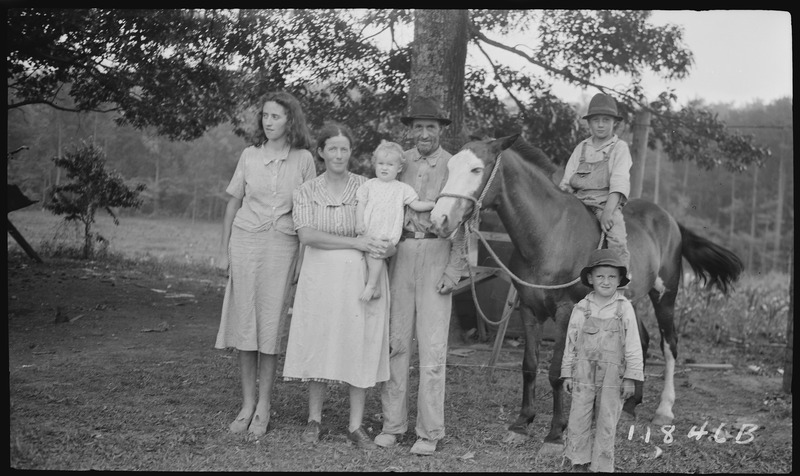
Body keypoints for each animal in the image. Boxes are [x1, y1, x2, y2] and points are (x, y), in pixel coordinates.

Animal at [432, 133, 744, 446]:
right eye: (450, 167)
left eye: (476, 169)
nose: (439, 219)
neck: (550, 234)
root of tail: (669, 220)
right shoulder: (529, 309)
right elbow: (529, 365)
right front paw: (522, 421)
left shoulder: (565, 312)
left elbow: (556, 371)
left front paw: (556, 430)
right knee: (641, 341)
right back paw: (629, 405)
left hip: (665, 295)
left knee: (669, 345)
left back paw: (664, 410)